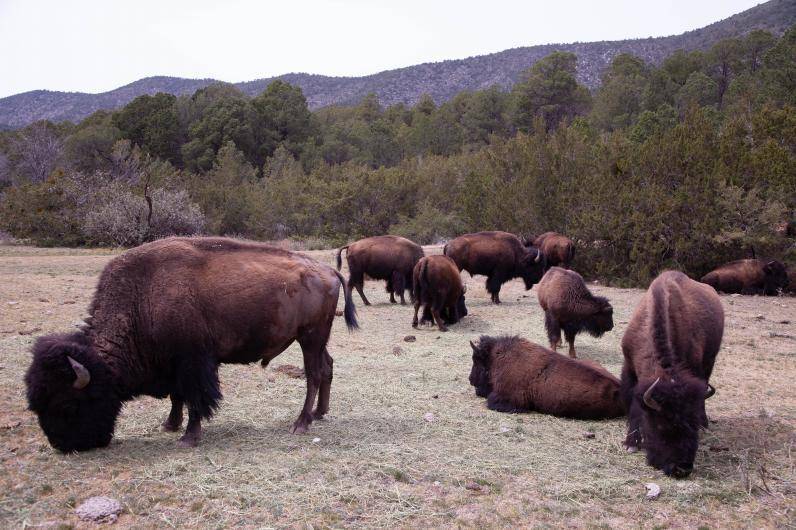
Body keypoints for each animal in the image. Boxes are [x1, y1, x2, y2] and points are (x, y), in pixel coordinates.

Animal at [24, 236, 360, 450]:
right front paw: (170, 424)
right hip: (317, 340)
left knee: (313, 375)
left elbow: (195, 397)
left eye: (68, 404)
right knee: (327, 368)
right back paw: (319, 413)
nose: (63, 446)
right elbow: (178, 396)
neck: (143, 298)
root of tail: (329, 271)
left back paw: (301, 423)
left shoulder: (193, 363)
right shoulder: (173, 363)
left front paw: (188, 437)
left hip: (309, 338)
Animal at [620, 270, 728, 476]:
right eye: (661, 424)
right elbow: (633, 406)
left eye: (691, 423)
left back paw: (706, 423)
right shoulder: (629, 368)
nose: (682, 469)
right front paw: (631, 443)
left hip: (710, 360)